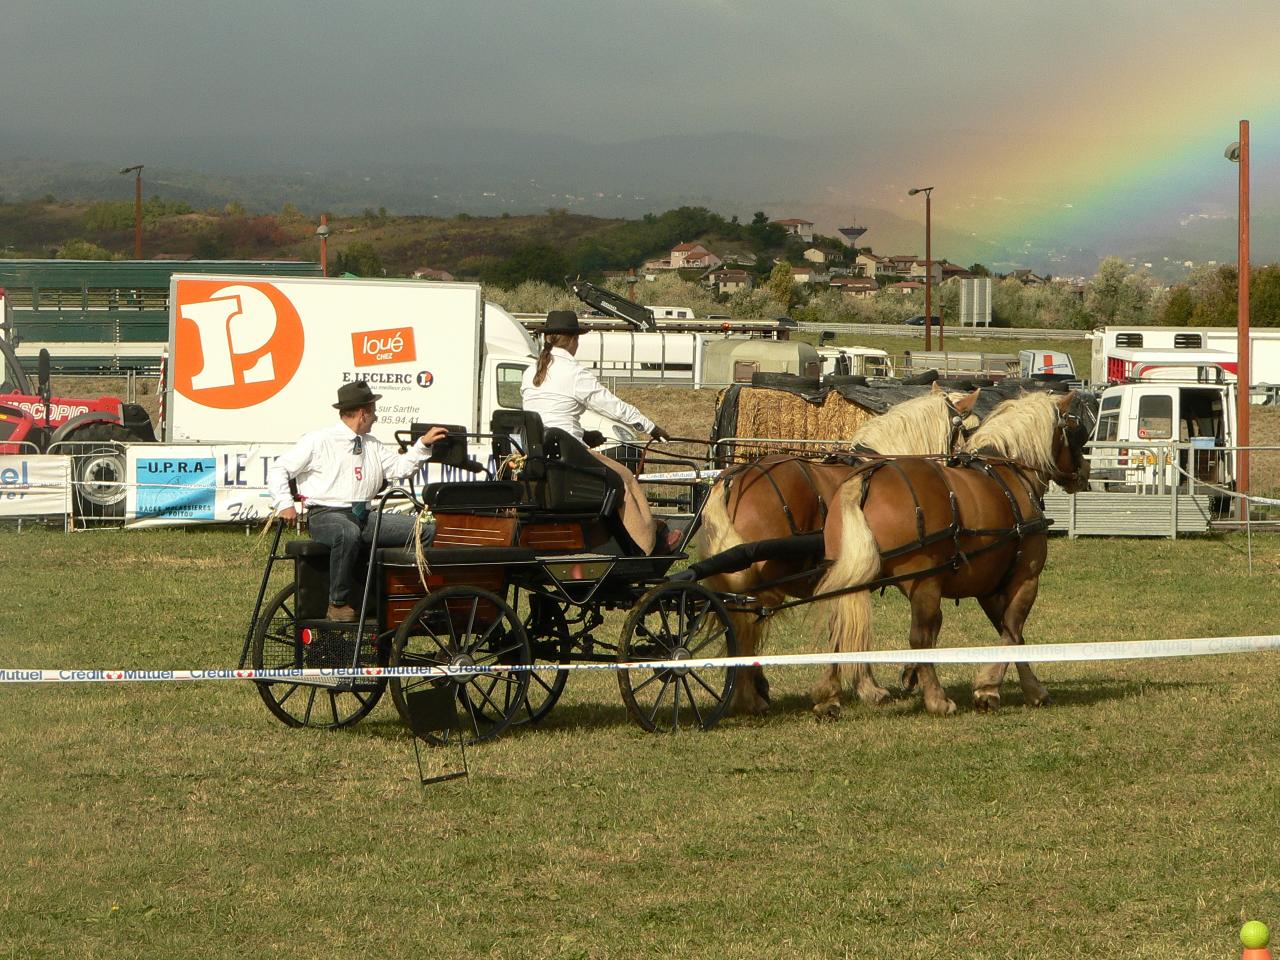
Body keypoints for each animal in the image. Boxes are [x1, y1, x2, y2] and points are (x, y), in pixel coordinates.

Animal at [691, 386, 977, 716]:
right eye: (968, 429)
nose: (970, 465)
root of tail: (734, 478)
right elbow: (858, 629)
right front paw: (873, 686)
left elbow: (844, 627)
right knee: (746, 626)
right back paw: (749, 695)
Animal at [814, 389, 1095, 716]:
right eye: (1073, 429)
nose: (1084, 471)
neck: (1011, 472)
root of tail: (866, 477)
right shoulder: (1025, 578)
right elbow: (1012, 630)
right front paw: (989, 688)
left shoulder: (988, 586)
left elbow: (1010, 632)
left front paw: (1030, 689)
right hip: (924, 584)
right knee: (918, 637)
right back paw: (936, 699)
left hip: (852, 577)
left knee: (840, 628)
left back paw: (830, 696)